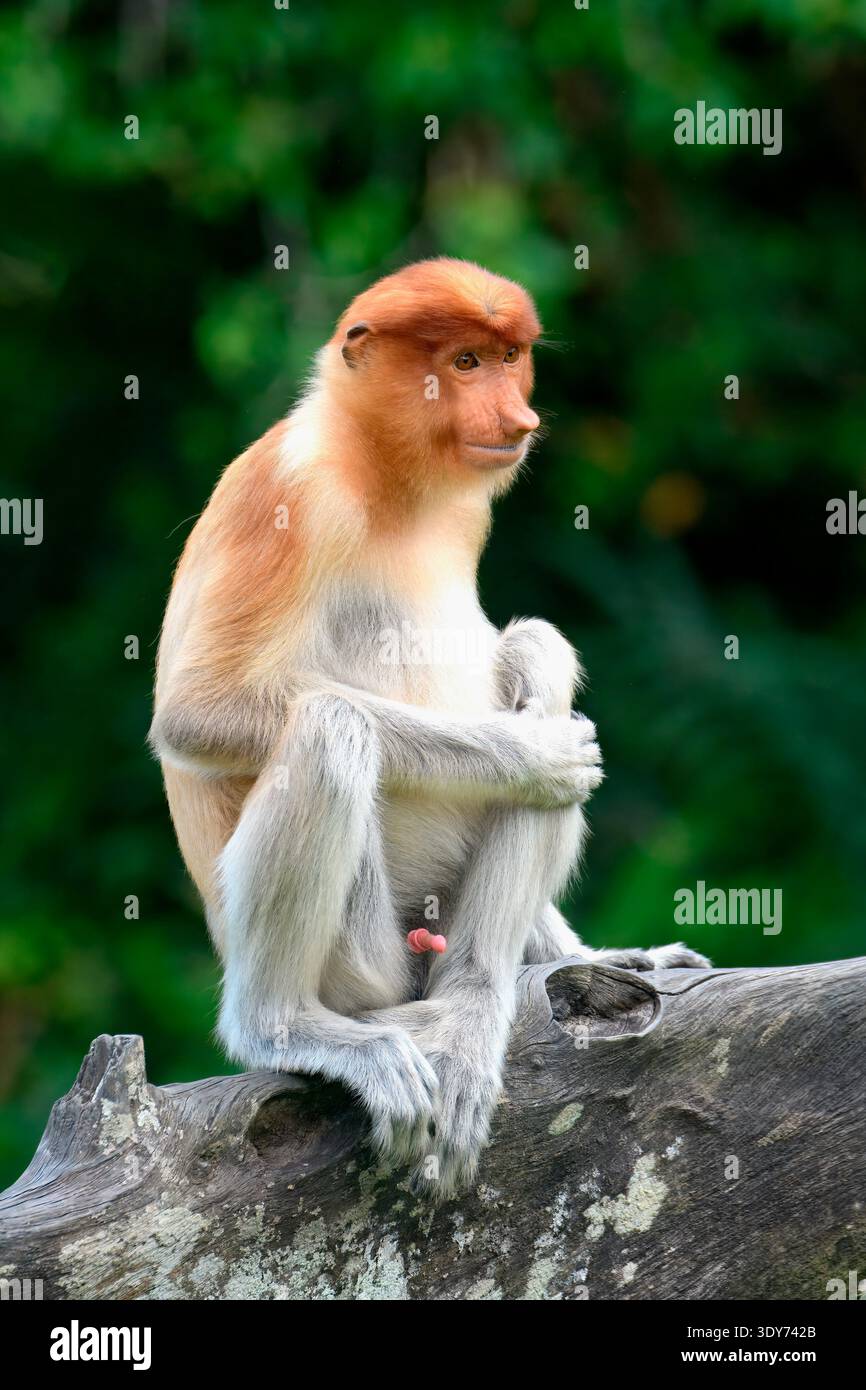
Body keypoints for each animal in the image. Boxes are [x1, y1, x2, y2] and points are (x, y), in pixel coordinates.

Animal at [150, 258, 709, 1195]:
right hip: (363, 959)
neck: (383, 472)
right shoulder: (294, 494)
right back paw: (290, 1024)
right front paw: (536, 756)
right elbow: (201, 709)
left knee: (535, 644)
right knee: (331, 727)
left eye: (512, 358)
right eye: (465, 361)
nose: (518, 420)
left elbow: (534, 658)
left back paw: (483, 993)